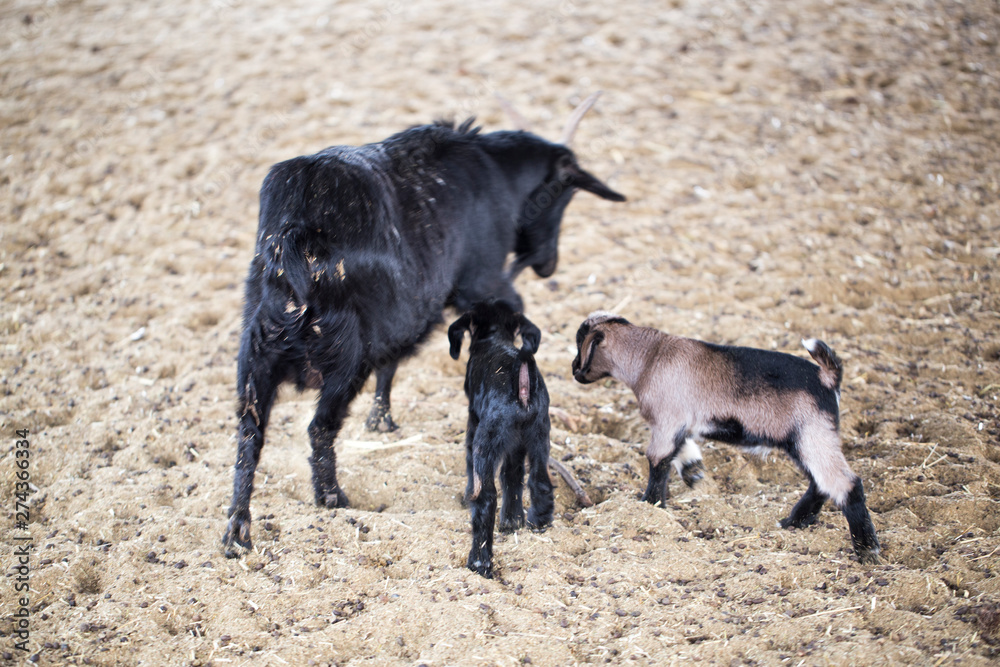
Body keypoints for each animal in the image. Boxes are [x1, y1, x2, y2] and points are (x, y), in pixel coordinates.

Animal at [448, 301, 554, 578]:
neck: (494, 335)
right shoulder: (516, 443)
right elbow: (512, 474)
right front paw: (513, 521)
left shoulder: (474, 424)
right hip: (539, 434)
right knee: (540, 480)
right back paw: (539, 521)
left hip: (487, 441)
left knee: (486, 497)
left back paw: (479, 562)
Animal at [571, 312, 880, 565]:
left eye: (580, 345)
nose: (574, 370)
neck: (650, 357)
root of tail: (828, 377)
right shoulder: (678, 423)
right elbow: (679, 450)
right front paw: (694, 471)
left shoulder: (666, 420)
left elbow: (658, 461)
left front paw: (650, 506)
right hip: (805, 440)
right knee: (821, 484)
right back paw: (794, 522)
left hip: (812, 437)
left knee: (846, 484)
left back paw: (867, 550)